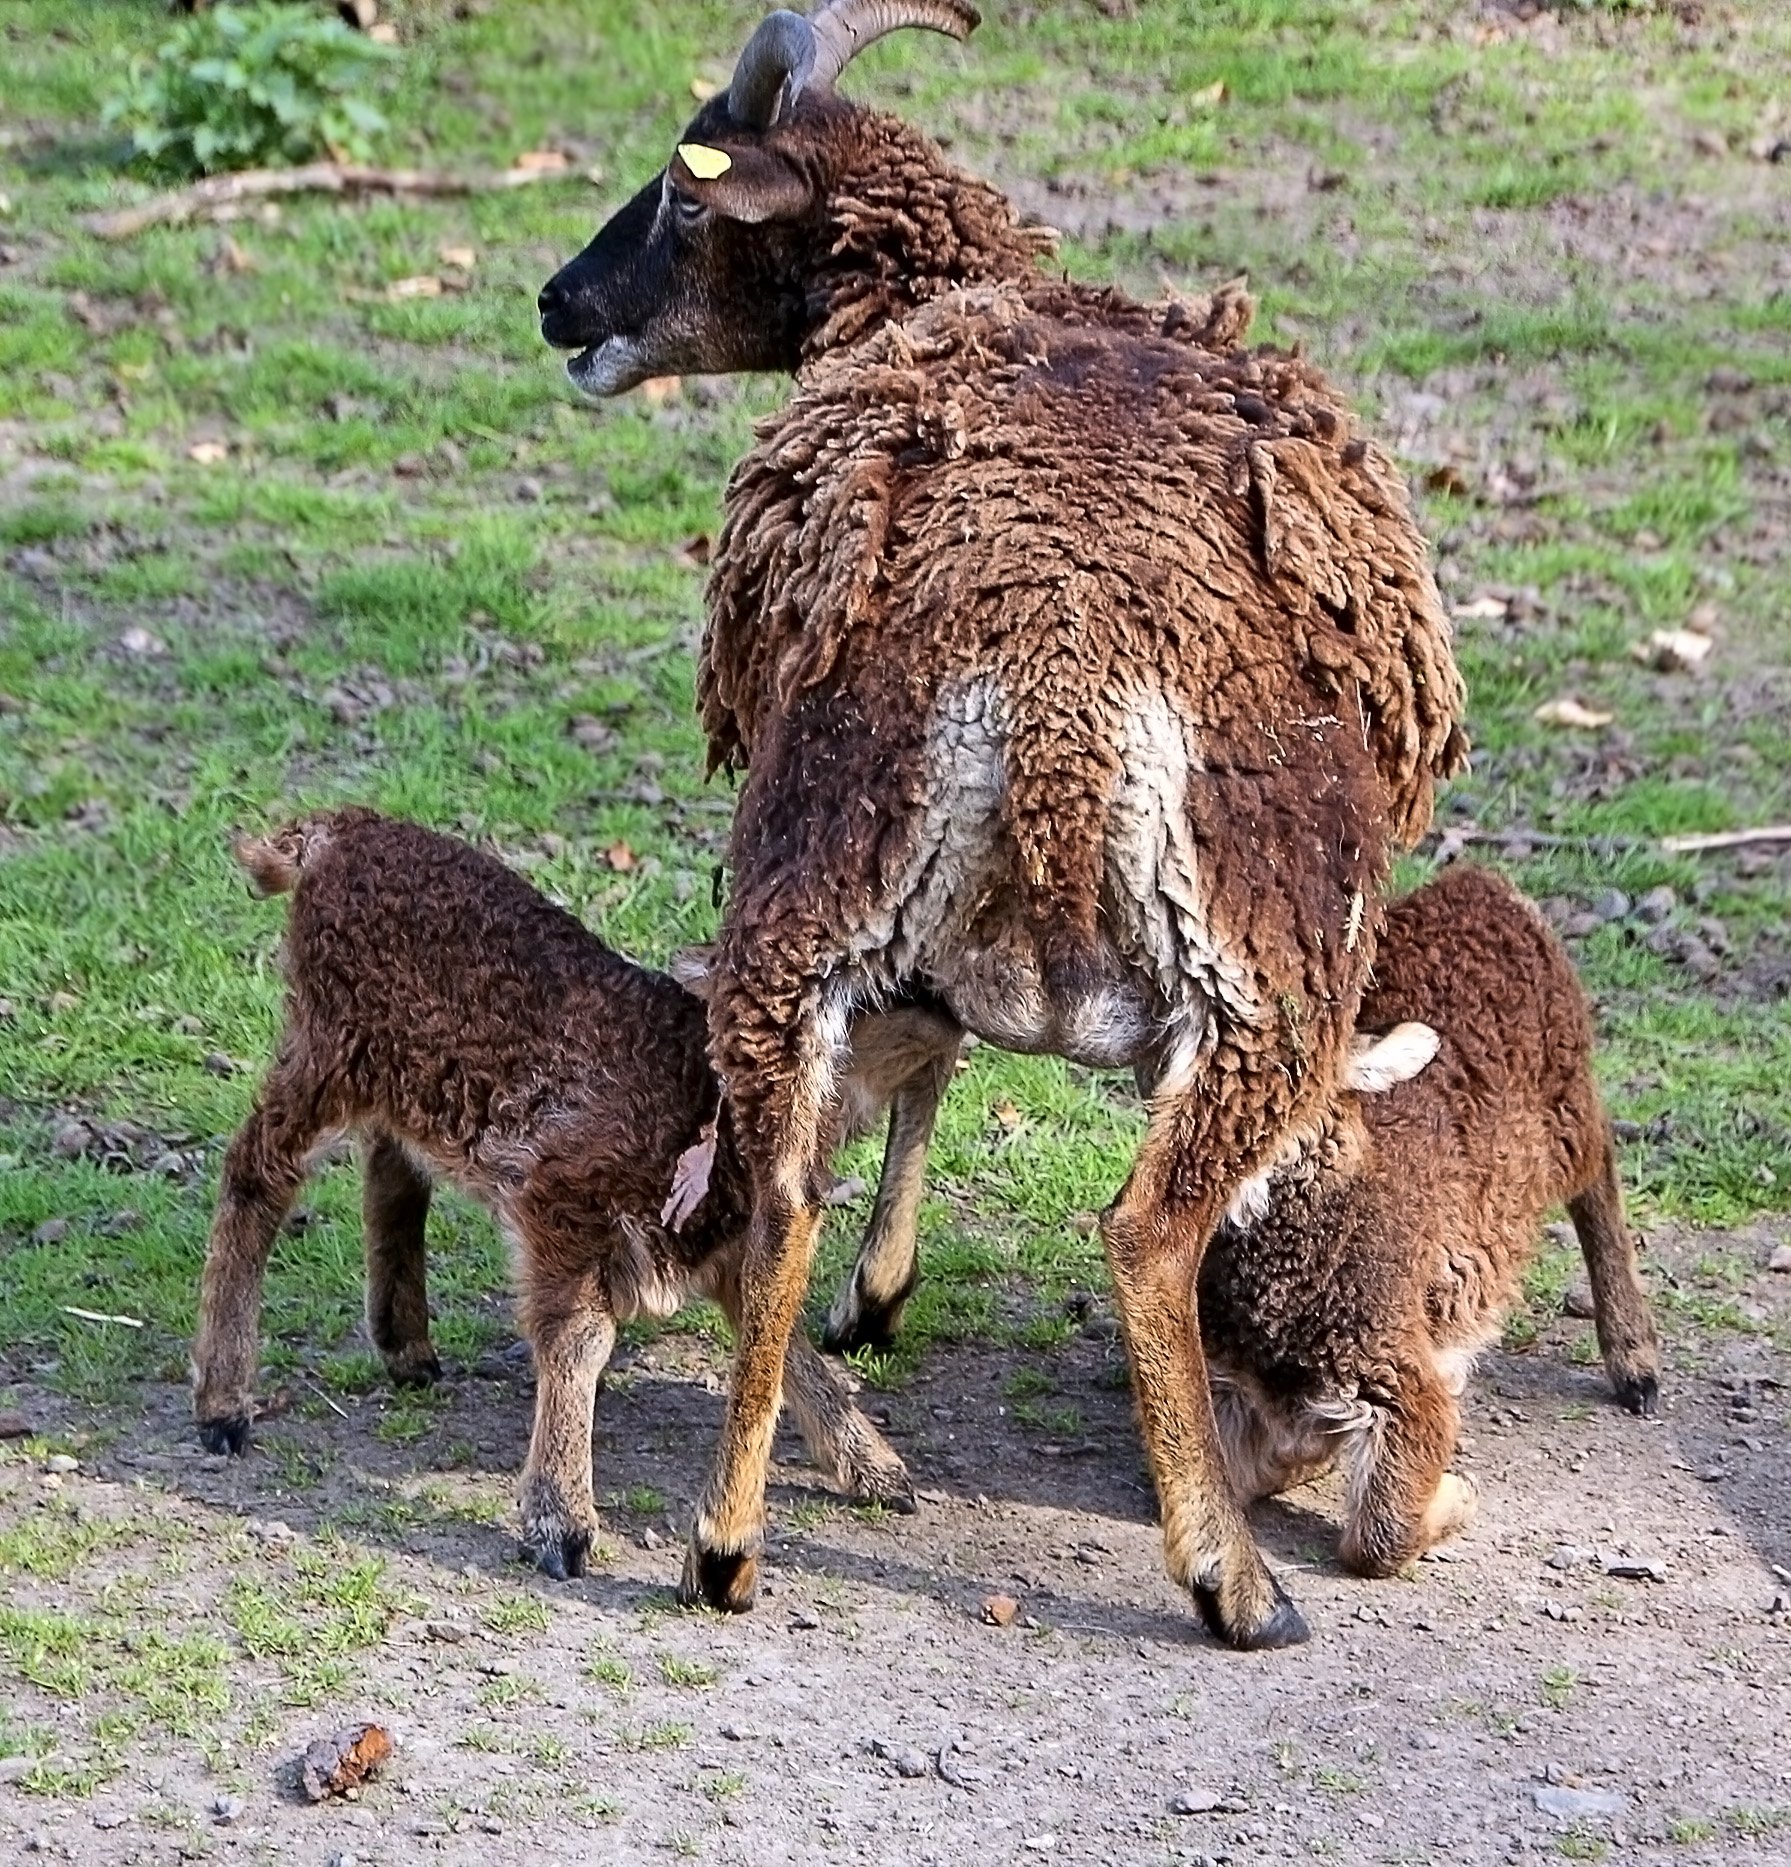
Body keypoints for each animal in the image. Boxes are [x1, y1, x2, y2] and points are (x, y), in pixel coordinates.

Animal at [188, 810, 930, 1583]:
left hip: (401, 1074)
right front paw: (560, 1519)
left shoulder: (720, 1244)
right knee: (255, 1173)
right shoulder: (561, 1197)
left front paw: (873, 1467)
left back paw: (406, 1346)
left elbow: (779, 1341)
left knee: (390, 1166)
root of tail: (333, 830)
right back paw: (224, 1402)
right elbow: (580, 1339)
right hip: (327, 1048)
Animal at [537, 0, 1464, 1650]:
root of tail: (1053, 664)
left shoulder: (921, 929)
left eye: (685, 196)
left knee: (779, 1187)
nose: (554, 301)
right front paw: (890, 1289)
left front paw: (878, 1287)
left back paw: (725, 1541)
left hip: (812, 865)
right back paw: (1232, 1579)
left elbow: (931, 1058)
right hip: (1259, 967)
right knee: (1145, 1230)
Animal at [1202, 862, 1665, 1575]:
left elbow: (1380, 1534)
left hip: (1568, 1098)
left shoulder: (1401, 1380)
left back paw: (1636, 1368)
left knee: (1600, 1175)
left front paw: (1459, 1493)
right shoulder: (1229, 1382)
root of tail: (1484, 883)